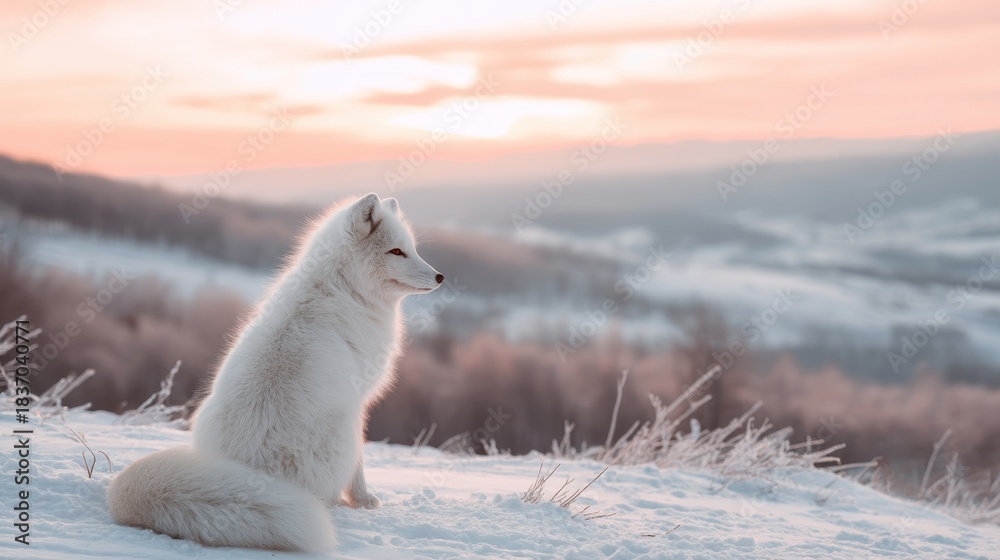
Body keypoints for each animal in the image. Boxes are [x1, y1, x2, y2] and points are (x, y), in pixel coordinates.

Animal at [106, 193, 444, 552]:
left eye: (413, 249)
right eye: (396, 251)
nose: (440, 277)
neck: (342, 288)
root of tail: (252, 472)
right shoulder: (360, 403)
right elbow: (360, 468)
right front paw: (364, 500)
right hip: (342, 432)